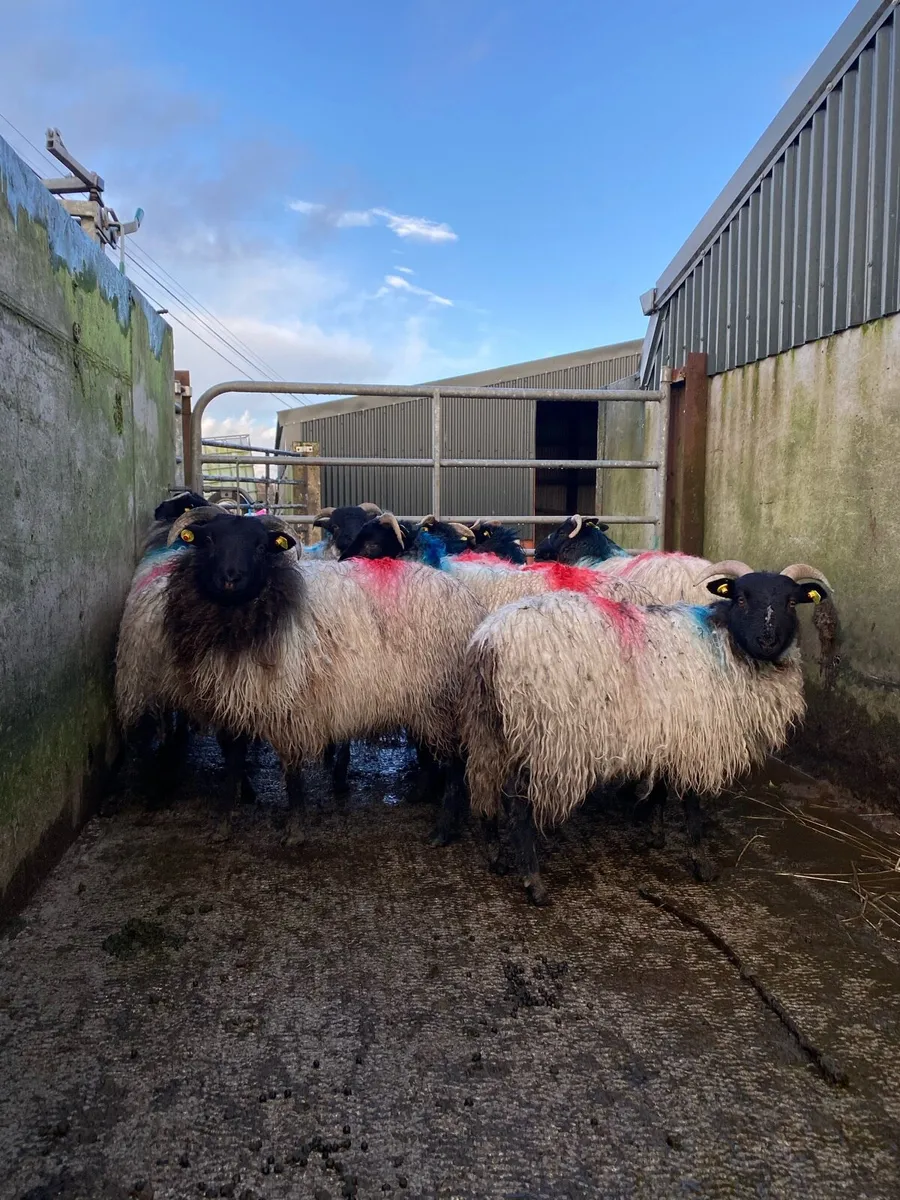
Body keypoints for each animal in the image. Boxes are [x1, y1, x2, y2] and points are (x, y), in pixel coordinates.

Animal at [161, 511, 486, 845]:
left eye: (261, 546)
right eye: (209, 540)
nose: (231, 578)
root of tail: (468, 600)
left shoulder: (288, 706)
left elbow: (291, 772)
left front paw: (295, 829)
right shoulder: (234, 701)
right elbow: (233, 765)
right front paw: (223, 823)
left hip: (441, 698)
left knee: (456, 763)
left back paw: (444, 829)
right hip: (424, 700)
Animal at [462, 559, 832, 904]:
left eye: (791, 602)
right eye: (741, 598)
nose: (766, 640)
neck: (726, 644)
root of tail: (489, 642)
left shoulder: (668, 730)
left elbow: (660, 787)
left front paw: (655, 835)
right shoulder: (697, 736)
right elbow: (691, 802)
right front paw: (701, 863)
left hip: (490, 729)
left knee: (485, 786)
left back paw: (496, 857)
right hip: (542, 735)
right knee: (518, 804)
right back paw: (533, 882)